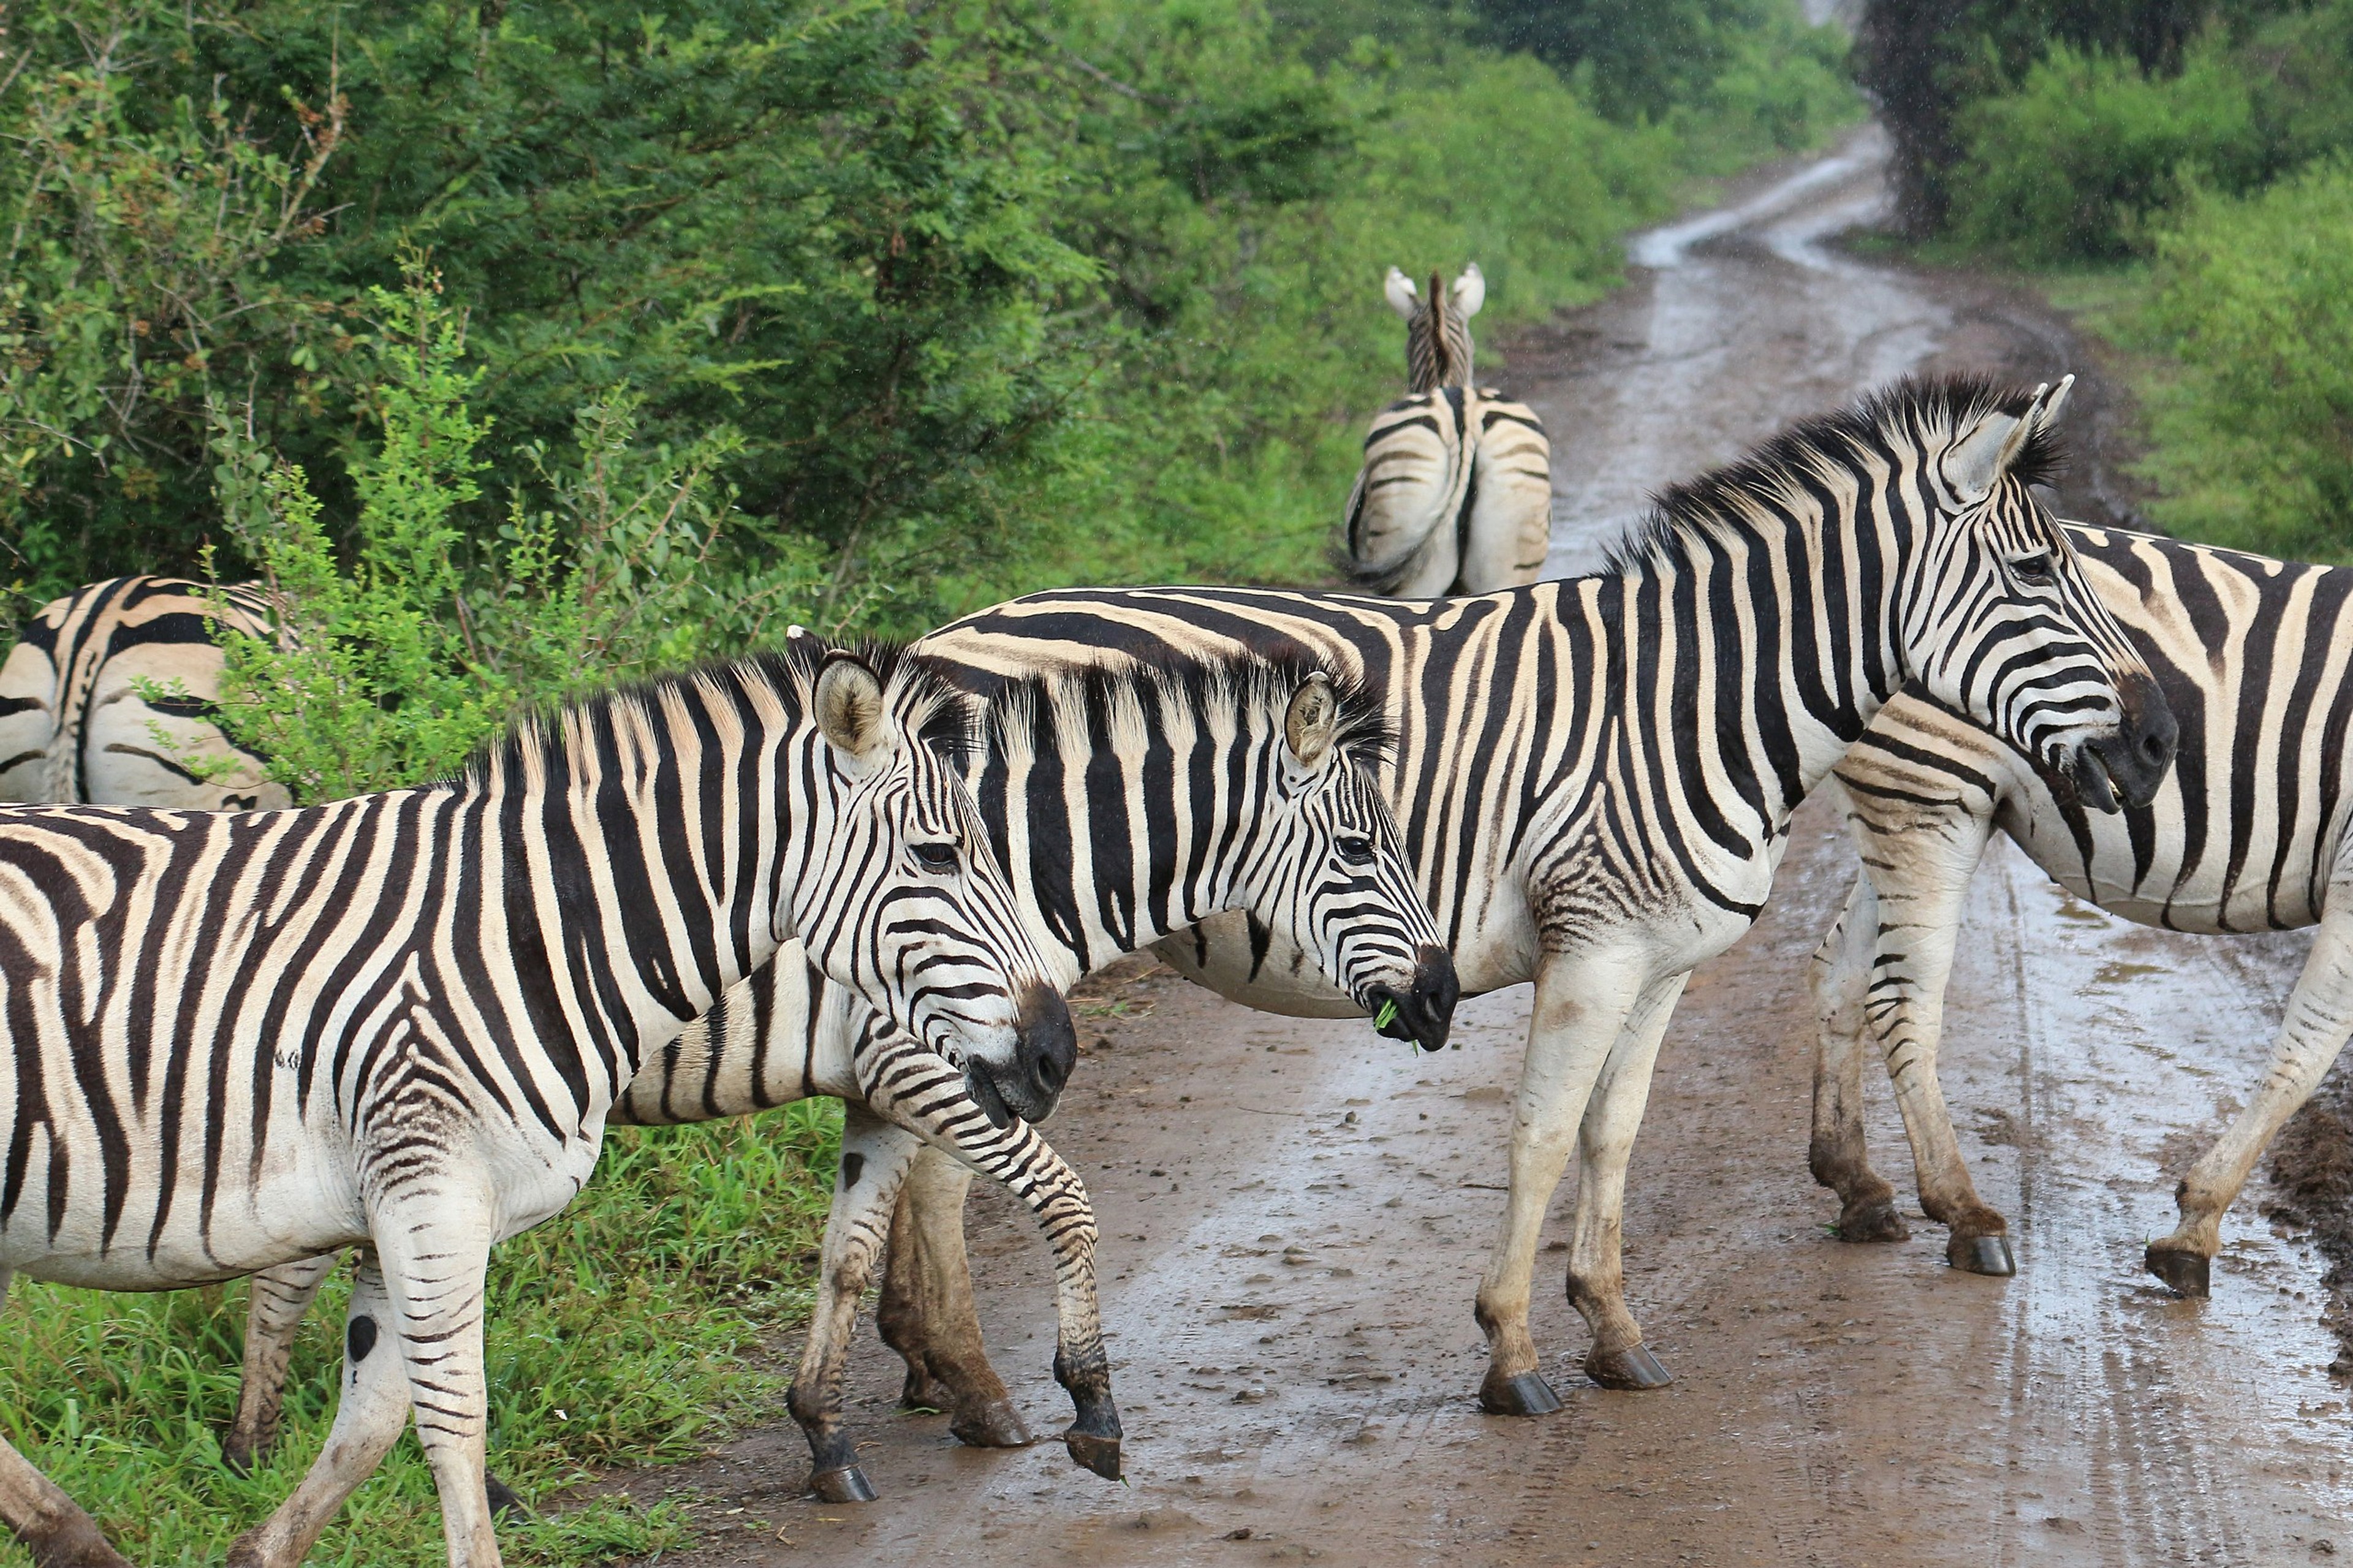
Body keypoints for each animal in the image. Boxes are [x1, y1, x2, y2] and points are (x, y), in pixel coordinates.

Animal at [0, 638, 1070, 1568]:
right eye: (937, 854)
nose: (1055, 1052)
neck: (530, 932)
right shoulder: (428, 1188)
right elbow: (452, 1416)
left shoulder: (404, 1207)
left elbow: (374, 1415)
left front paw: (261, 1550)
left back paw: (73, 1536)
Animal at [220, 651, 1455, 1506]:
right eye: (1361, 850)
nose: (1445, 998)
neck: (1019, 868)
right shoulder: (926, 1067)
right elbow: (1060, 1198)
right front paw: (1086, 1405)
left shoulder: (891, 1085)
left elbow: (850, 1253)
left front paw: (824, 1433)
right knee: (313, 1276)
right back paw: (300, 1454)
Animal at [857, 374, 2180, 1422]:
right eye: (2038, 570)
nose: (2164, 740)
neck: (1692, 699)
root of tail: (951, 636)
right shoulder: (1590, 946)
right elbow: (1541, 1134)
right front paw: (1513, 1353)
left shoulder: (1663, 960)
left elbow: (1613, 1133)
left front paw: (1615, 1330)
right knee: (946, 1154)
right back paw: (970, 1381)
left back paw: (922, 1363)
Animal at [1807, 523, 2353, 1295]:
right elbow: (2307, 1049)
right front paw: (2194, 1229)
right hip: (1931, 790)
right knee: (1901, 1001)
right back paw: (1965, 1214)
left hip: (1900, 805)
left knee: (1841, 974)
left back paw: (1856, 1186)